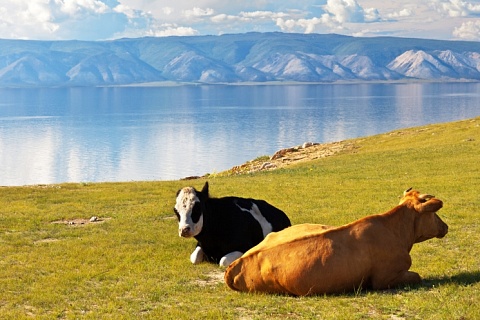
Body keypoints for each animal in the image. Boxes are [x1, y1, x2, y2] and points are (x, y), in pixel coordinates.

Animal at [223, 189, 448, 296]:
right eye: (434, 213)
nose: (445, 226)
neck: (395, 231)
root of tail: (235, 265)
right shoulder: (384, 278)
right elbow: (417, 276)